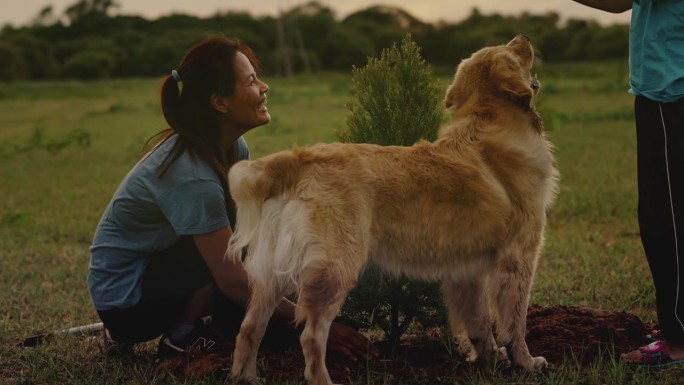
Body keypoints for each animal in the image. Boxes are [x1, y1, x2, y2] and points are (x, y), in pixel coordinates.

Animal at [228, 34, 556, 382]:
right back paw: (323, 379)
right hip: (336, 268)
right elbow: (516, 322)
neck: (486, 120)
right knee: (311, 335)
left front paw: (489, 360)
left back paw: (246, 377)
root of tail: (300, 159)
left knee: (250, 327)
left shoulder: (467, 270)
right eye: (514, 50)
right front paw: (526, 362)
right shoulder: (519, 257)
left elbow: (480, 322)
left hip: (272, 274)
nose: (524, 38)